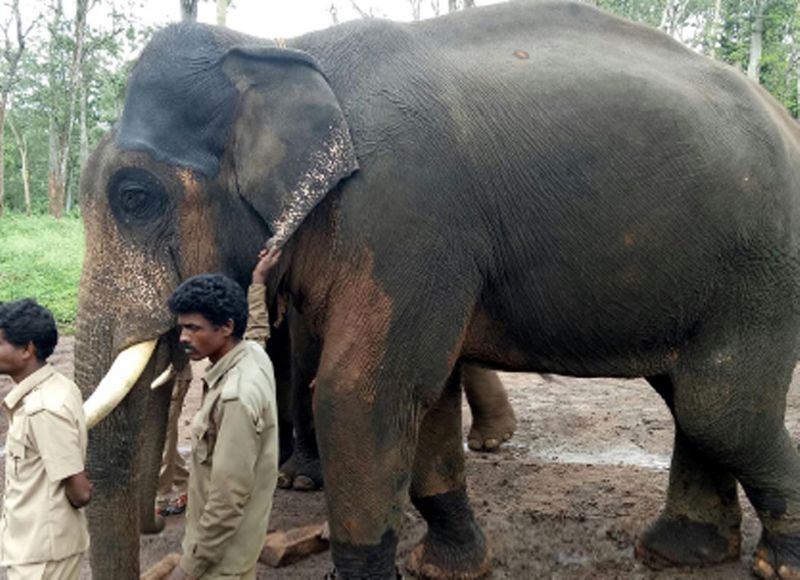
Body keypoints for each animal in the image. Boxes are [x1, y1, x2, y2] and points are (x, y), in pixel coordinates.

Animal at [76, 1, 800, 580]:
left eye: (135, 197)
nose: (162, 517)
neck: (279, 48)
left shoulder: (403, 209)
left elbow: (363, 391)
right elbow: (424, 400)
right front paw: (449, 565)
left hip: (763, 270)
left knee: (720, 408)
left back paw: (773, 564)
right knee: (695, 402)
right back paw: (680, 553)